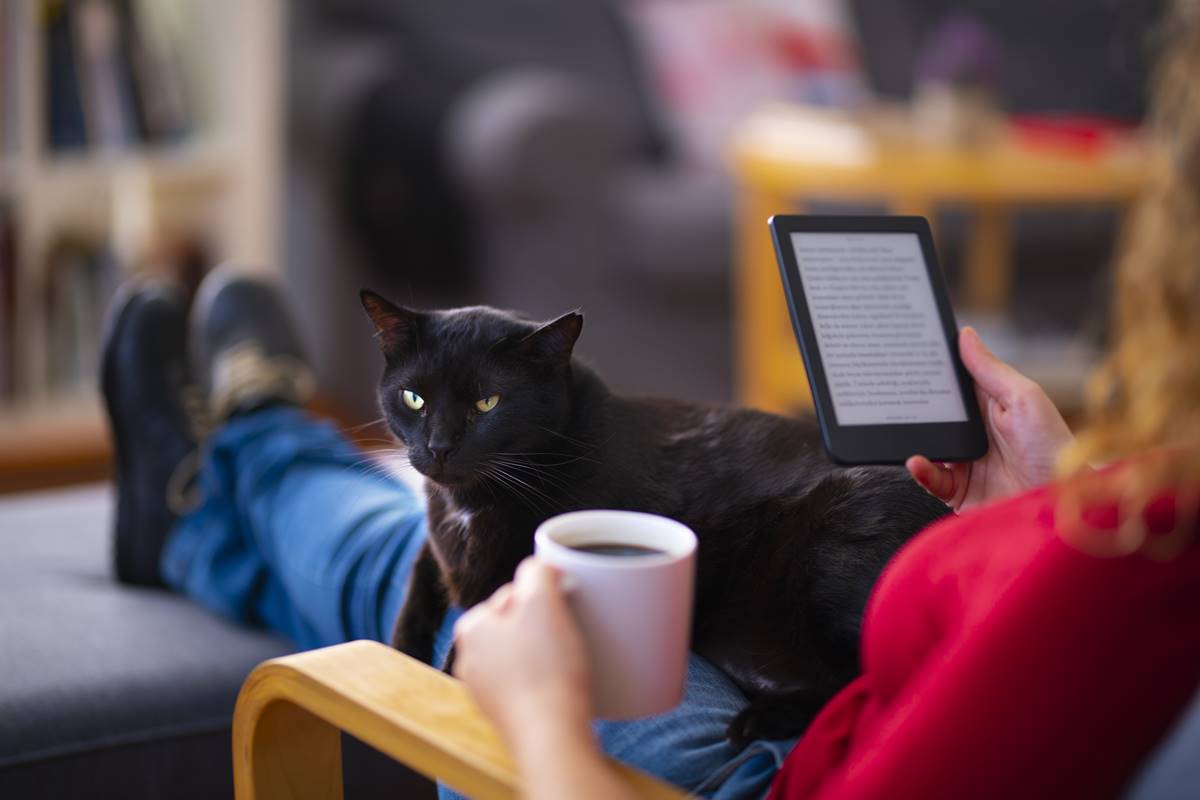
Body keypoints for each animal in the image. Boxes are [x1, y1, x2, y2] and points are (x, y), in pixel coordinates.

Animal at [360, 291, 950, 748]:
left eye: (488, 403)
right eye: (413, 399)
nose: (438, 448)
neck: (469, 502)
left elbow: (483, 621)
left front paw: (446, 675)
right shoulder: (438, 541)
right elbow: (418, 581)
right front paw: (400, 653)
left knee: (862, 685)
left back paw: (757, 721)